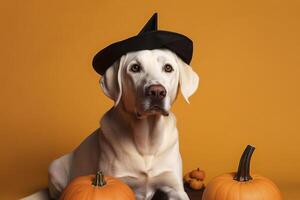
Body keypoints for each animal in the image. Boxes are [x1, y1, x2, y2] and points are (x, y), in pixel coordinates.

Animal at [47, 48, 199, 200]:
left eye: (168, 68)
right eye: (135, 68)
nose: (157, 91)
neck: (147, 142)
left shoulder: (175, 188)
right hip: (55, 167)